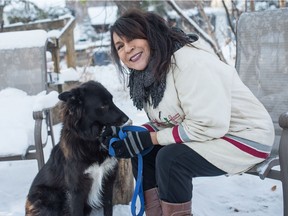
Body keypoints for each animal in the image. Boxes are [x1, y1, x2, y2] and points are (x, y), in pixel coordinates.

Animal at [25, 80, 129, 215]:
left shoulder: (108, 181)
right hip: (49, 196)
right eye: (103, 105)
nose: (126, 118)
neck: (92, 139)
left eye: (112, 100)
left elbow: (108, 209)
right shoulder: (77, 190)